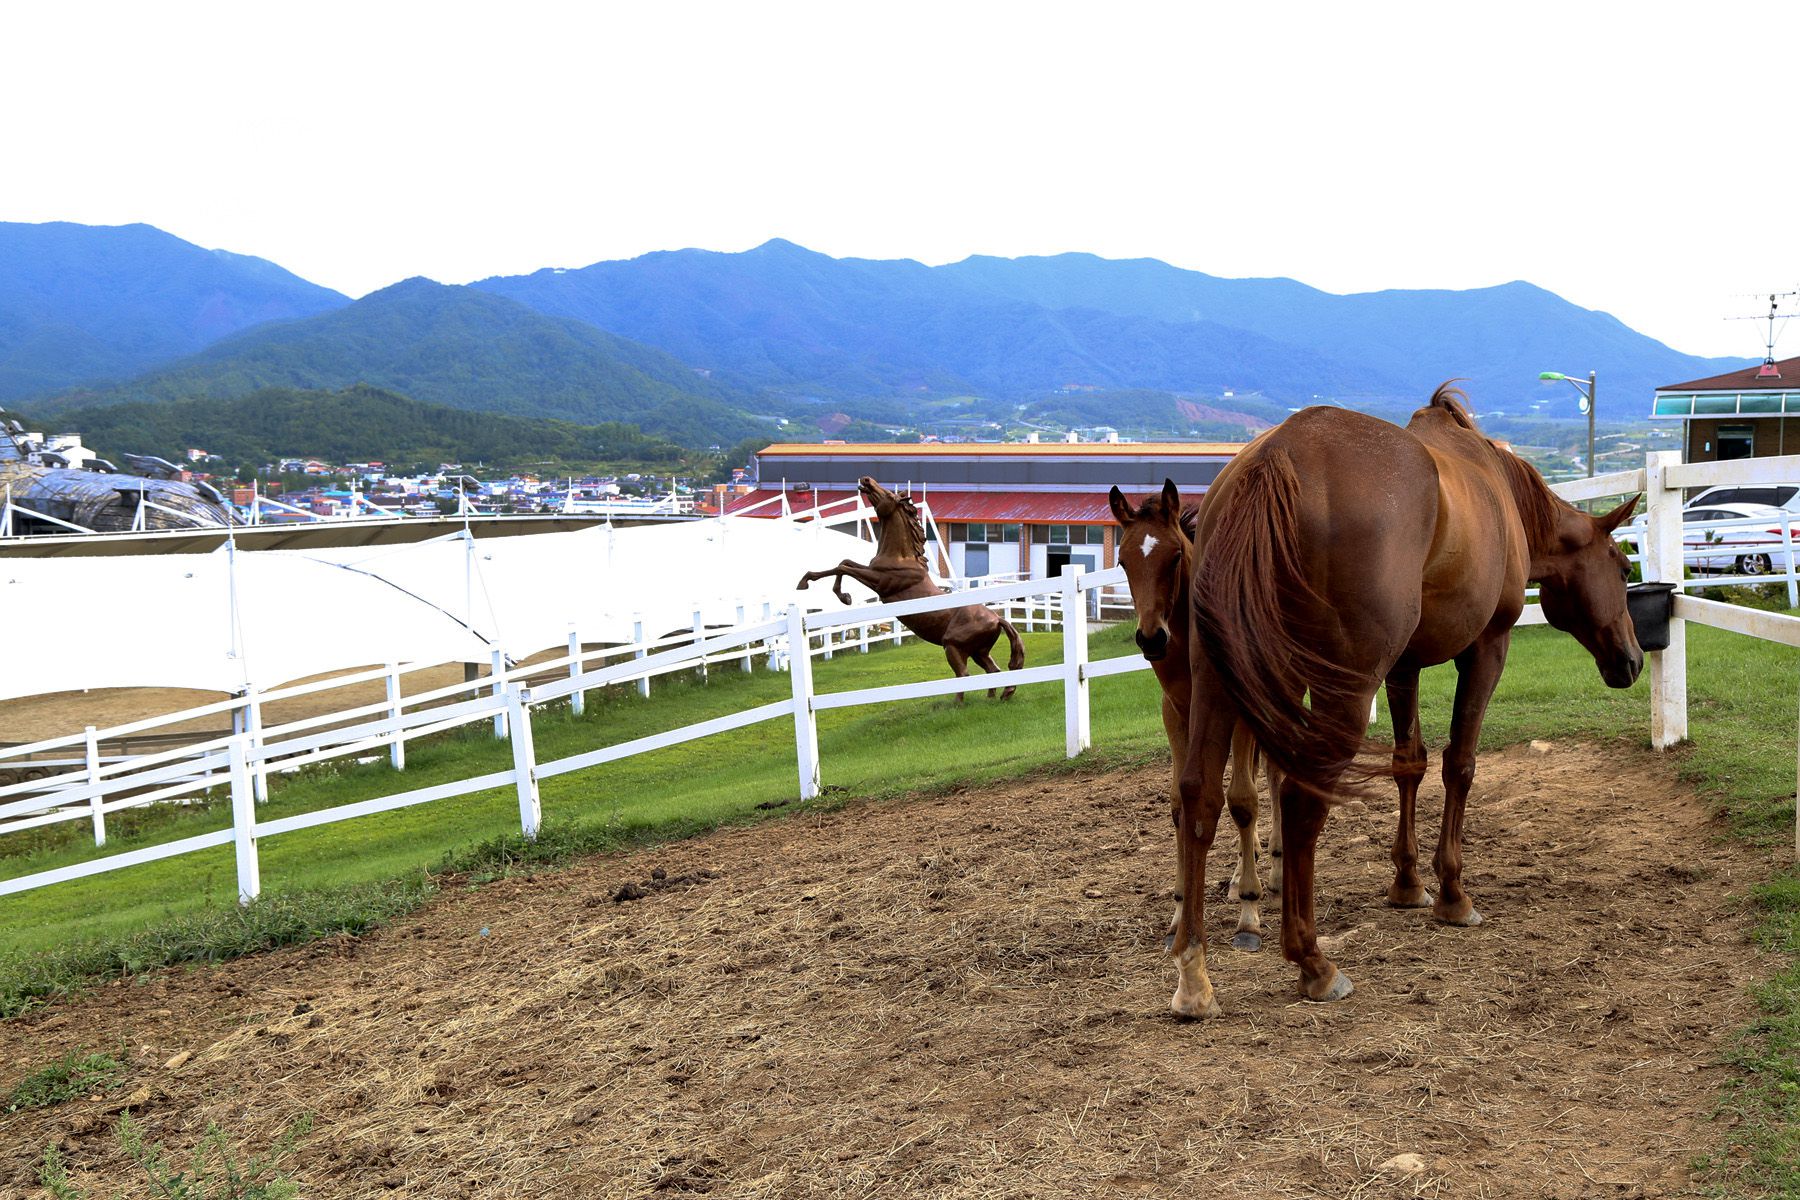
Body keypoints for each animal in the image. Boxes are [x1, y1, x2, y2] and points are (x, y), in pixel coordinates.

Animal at [796, 476, 1026, 698]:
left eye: (889, 495)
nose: (866, 480)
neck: (901, 559)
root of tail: (997, 618)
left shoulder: (880, 583)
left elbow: (843, 567)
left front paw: (823, 589)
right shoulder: (872, 572)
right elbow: (845, 562)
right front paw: (835, 592)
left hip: (954, 646)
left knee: (964, 674)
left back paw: (956, 705)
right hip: (979, 652)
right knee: (993, 672)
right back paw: (995, 697)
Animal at [1110, 479, 1282, 954]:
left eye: (1174, 557)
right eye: (1123, 561)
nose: (1151, 638)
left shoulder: (1241, 714)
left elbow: (1242, 800)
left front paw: (1249, 914)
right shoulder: (1177, 714)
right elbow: (1179, 805)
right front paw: (1178, 913)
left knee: (1275, 777)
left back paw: (1275, 869)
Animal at [1169, 384, 1641, 1018]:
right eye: (1623, 566)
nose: (1632, 660)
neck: (1498, 489)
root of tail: (1276, 458)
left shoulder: (1404, 668)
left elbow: (1408, 765)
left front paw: (1407, 884)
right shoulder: (1487, 649)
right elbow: (1458, 764)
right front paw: (1451, 893)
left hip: (1218, 676)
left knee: (1198, 796)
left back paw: (1194, 978)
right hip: (1341, 689)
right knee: (1300, 800)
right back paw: (1312, 962)